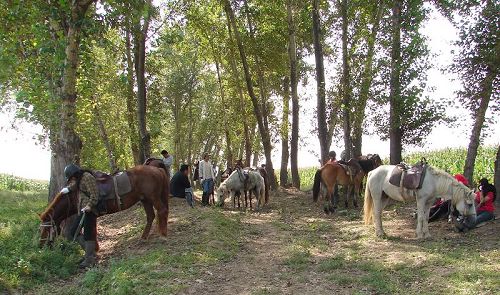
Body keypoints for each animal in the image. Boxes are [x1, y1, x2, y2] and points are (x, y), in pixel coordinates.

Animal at [38, 166, 170, 247]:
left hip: (153, 197)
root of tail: (157, 169)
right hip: (145, 200)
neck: (75, 194)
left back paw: (163, 235)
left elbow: (91, 234)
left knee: (162, 211)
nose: (40, 245)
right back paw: (143, 237)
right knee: (151, 216)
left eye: (46, 229)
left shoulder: (90, 216)